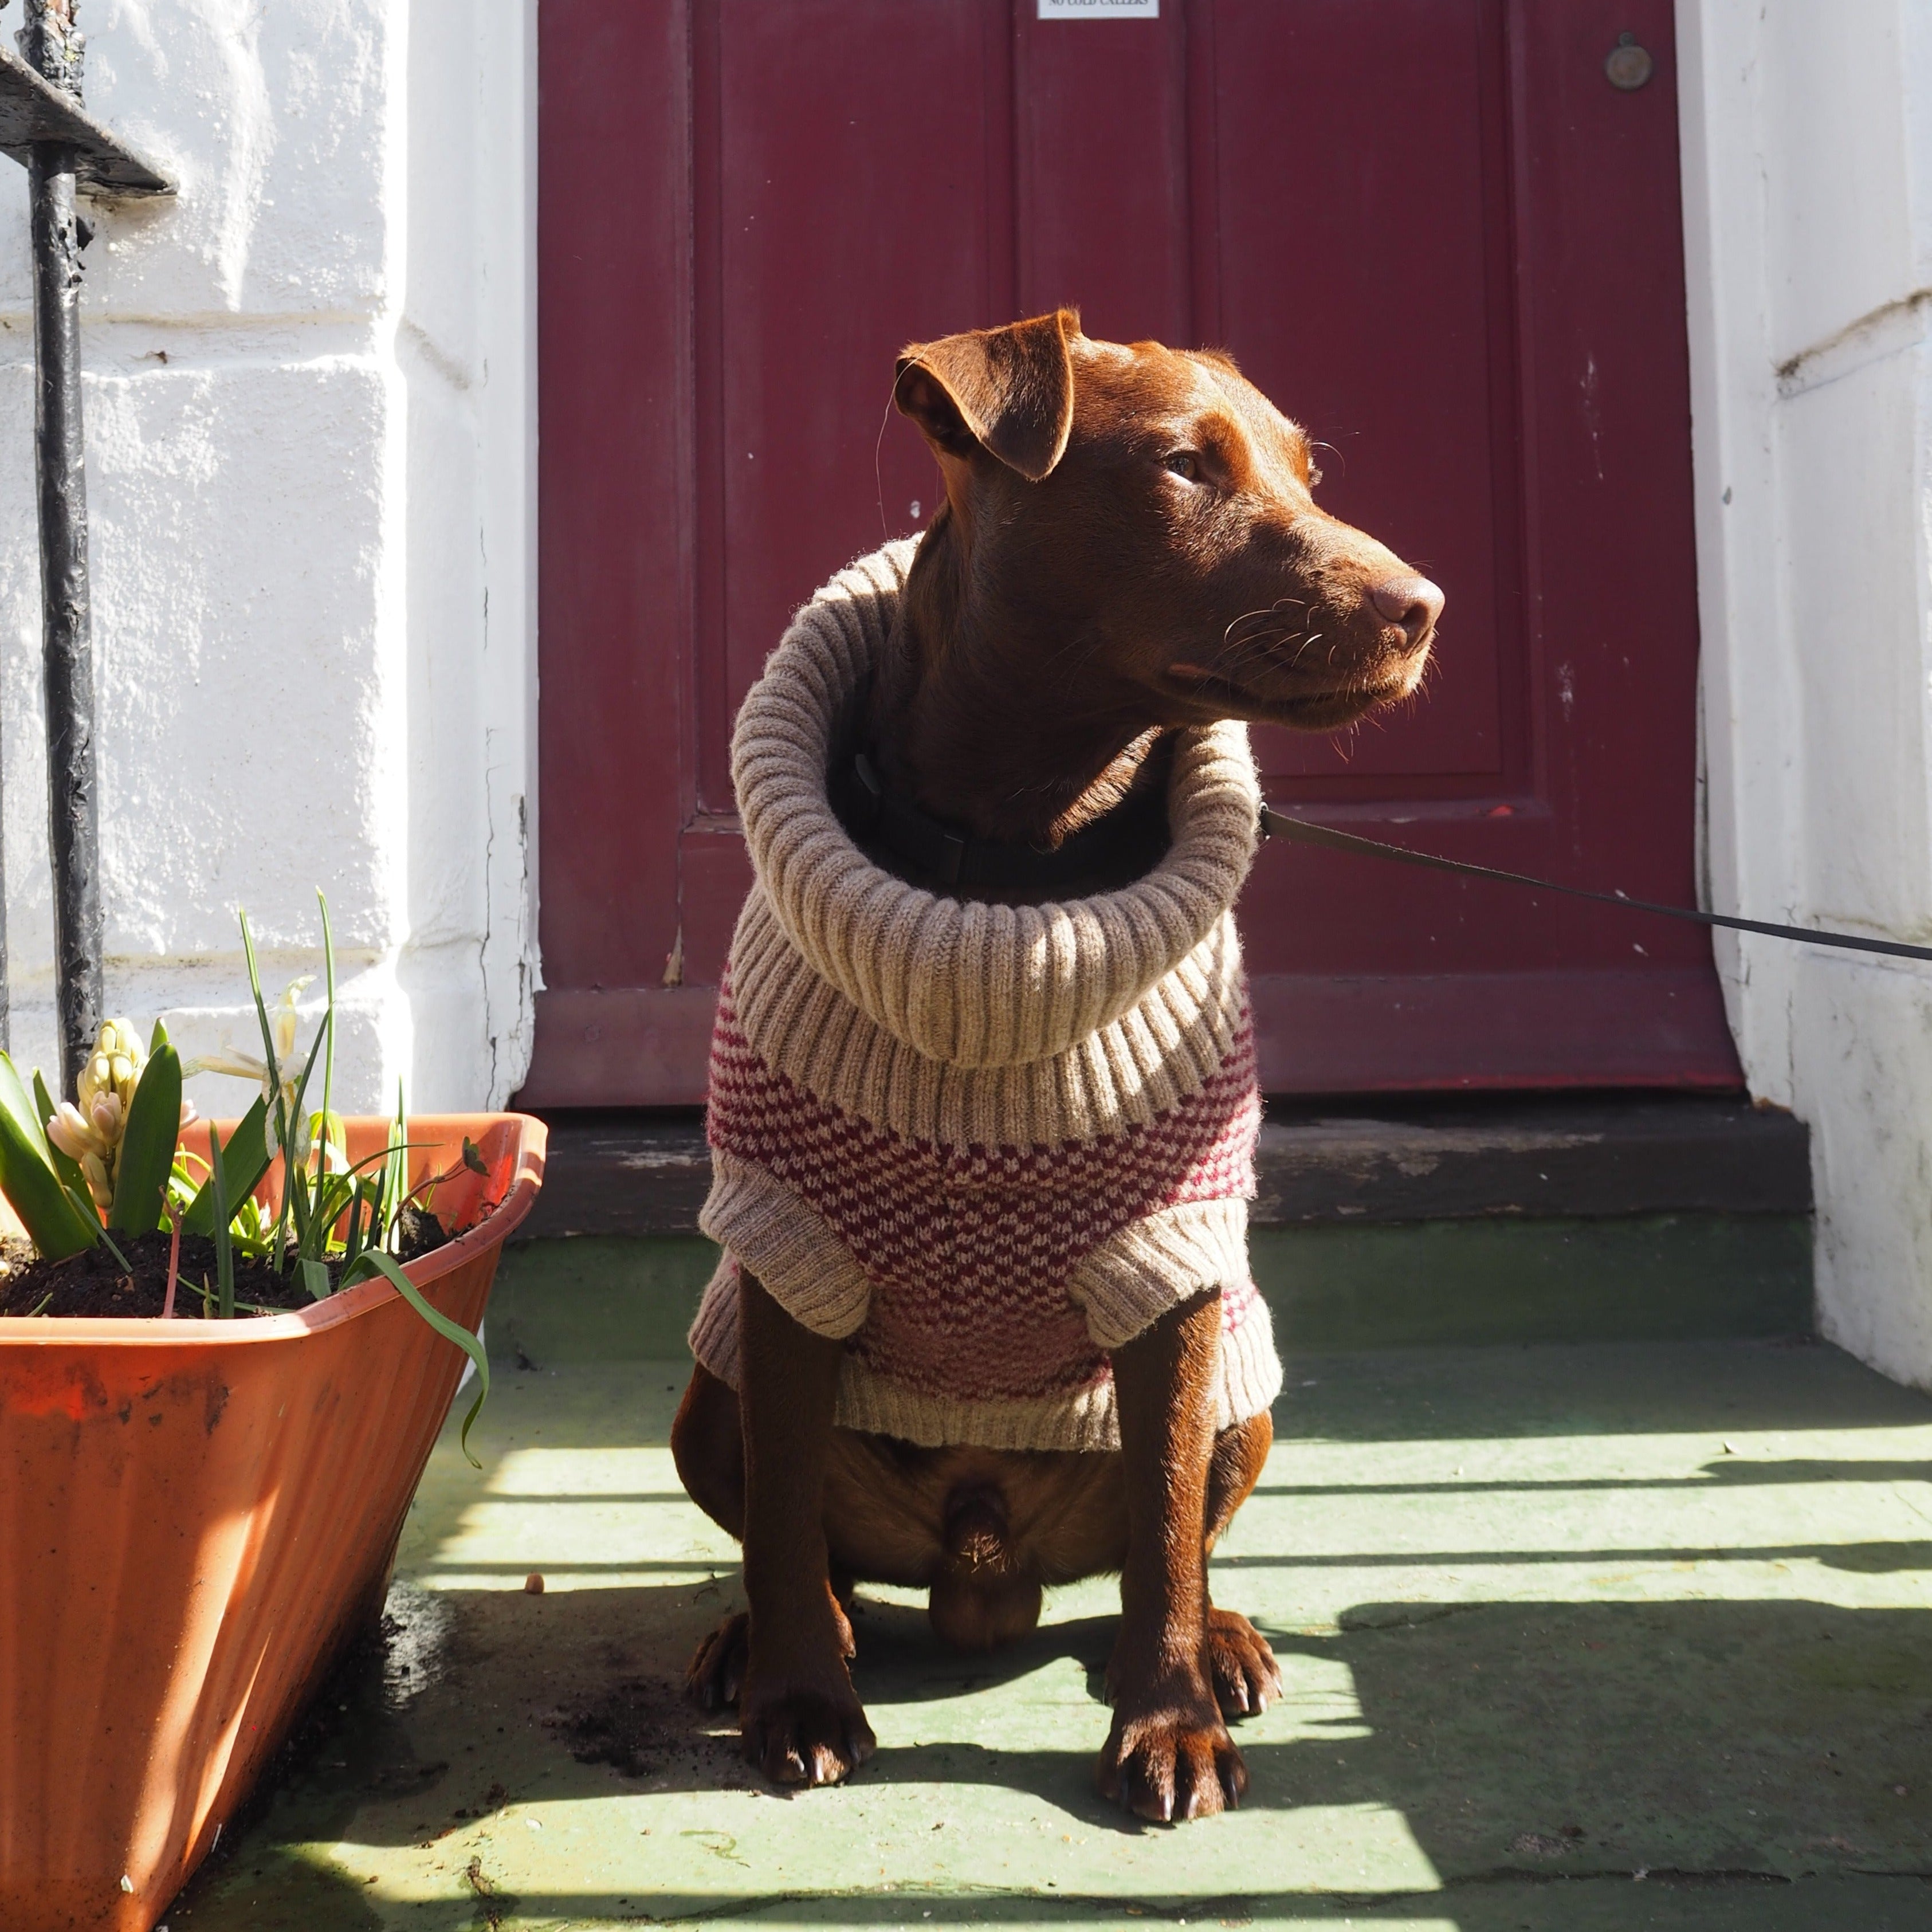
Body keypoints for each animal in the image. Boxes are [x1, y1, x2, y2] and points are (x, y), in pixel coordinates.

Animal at [672, 309, 1445, 1816]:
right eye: (1184, 465)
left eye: (1306, 468)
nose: (1422, 605)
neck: (1016, 874)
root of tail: (987, 1572)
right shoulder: (788, 1250)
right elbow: (784, 1520)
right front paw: (800, 1697)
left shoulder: (1171, 1256)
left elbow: (1162, 1516)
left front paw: (1168, 1722)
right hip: (710, 1387)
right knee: (808, 1546)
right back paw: (777, 1640)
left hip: (1246, 1397)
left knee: (1160, 1550)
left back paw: (1222, 1643)